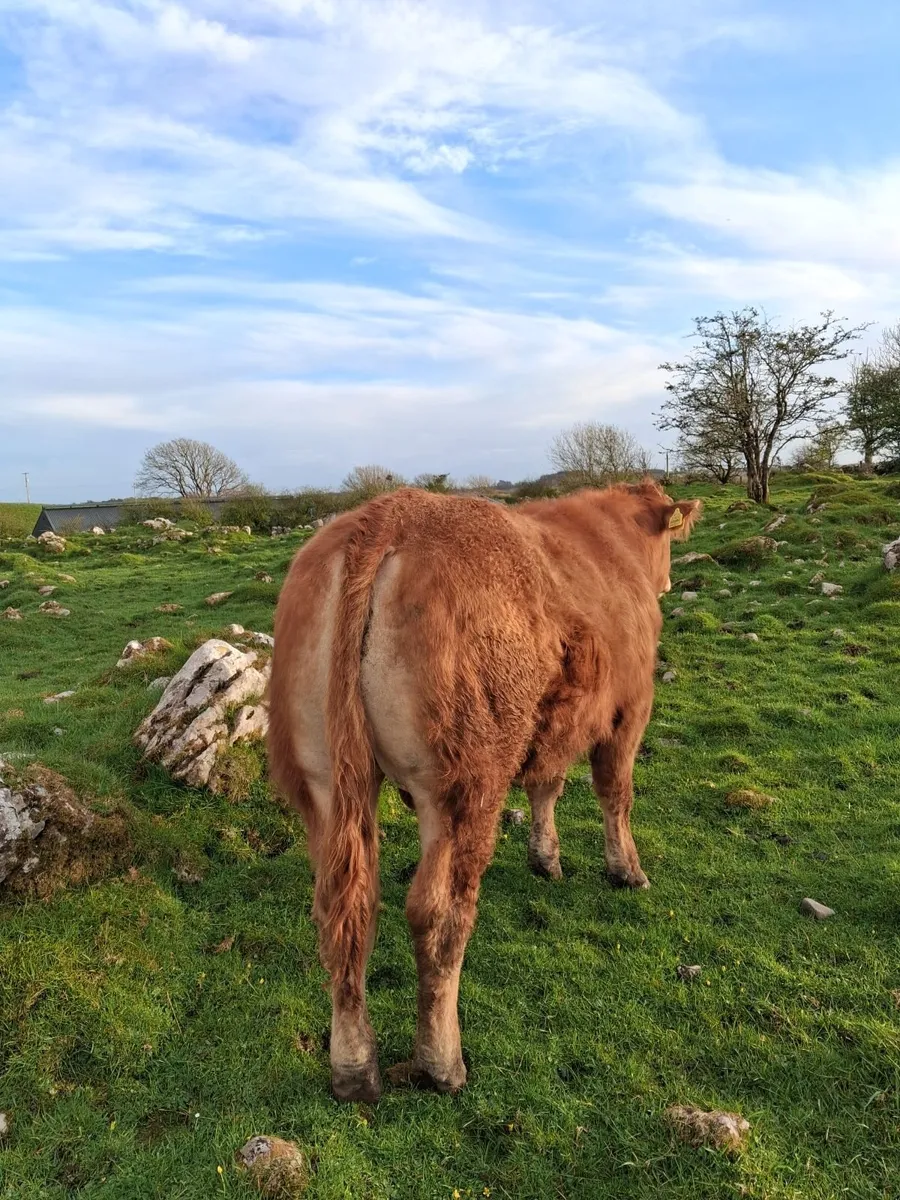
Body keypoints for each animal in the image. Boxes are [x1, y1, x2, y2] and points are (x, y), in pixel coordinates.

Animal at [268, 480, 701, 1103]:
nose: (666, 581)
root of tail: (388, 514)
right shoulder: (628, 708)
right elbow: (615, 793)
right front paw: (627, 870)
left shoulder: (553, 724)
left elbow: (547, 784)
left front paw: (546, 859)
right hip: (463, 785)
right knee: (438, 915)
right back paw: (441, 1063)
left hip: (326, 782)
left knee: (344, 910)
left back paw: (354, 1068)